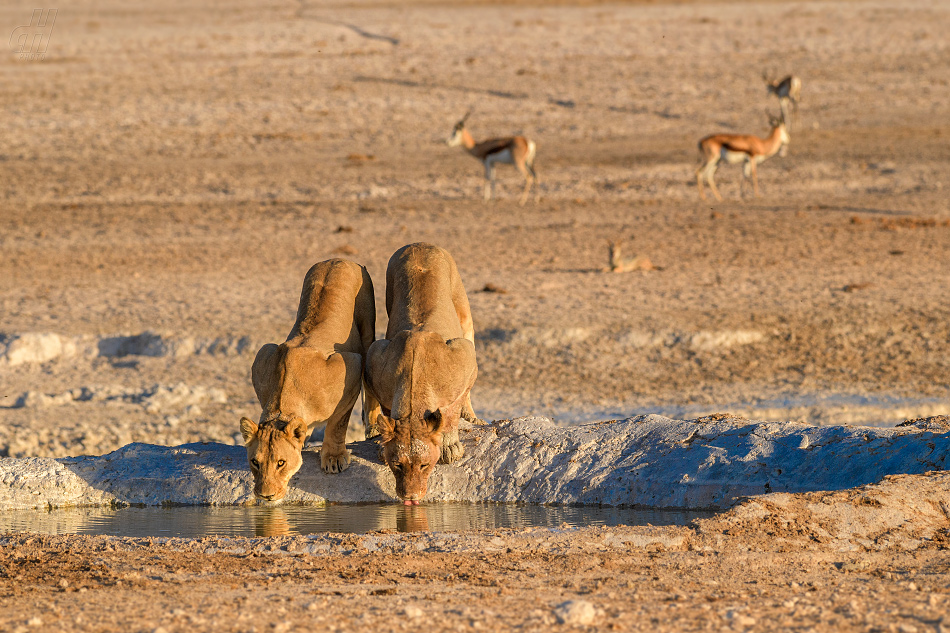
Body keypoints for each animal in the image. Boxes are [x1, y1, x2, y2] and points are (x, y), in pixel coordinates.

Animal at [240, 256, 382, 498]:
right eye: (255, 462)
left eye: (281, 463)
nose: (265, 495)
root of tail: (338, 258)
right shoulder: (263, 356)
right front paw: (303, 437)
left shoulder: (350, 366)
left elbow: (338, 423)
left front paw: (333, 458)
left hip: (367, 326)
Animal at [366, 242, 480, 504]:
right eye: (397, 465)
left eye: (425, 465)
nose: (411, 497)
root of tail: (419, 244)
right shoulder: (376, 355)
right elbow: (383, 408)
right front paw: (381, 440)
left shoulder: (464, 356)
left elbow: (451, 411)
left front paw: (449, 445)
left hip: (463, 312)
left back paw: (471, 417)